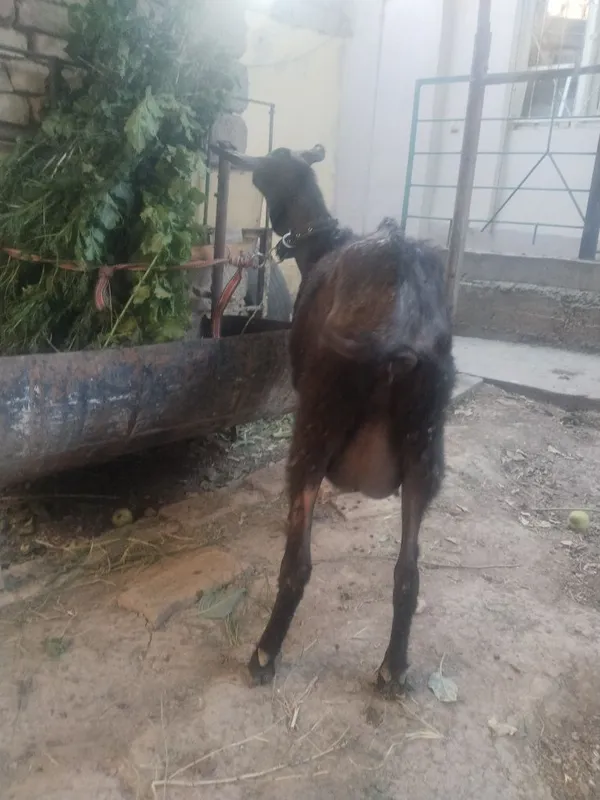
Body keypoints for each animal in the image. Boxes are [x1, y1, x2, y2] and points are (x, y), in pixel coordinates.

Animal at [220, 143, 456, 696]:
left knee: (297, 565)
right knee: (407, 572)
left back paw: (263, 654)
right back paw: (392, 668)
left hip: (316, 426)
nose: (242, 161)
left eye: (270, 167)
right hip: (424, 449)